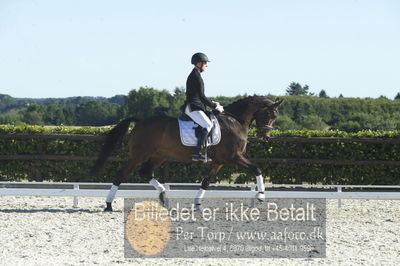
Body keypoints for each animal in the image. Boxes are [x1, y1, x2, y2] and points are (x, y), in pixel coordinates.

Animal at [90, 96, 284, 212]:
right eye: (271, 114)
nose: (266, 137)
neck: (234, 121)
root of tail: (140, 122)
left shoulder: (219, 161)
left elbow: (206, 181)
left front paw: (198, 204)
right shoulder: (233, 157)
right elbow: (257, 169)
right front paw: (261, 196)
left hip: (159, 156)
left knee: (145, 172)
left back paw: (163, 196)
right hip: (138, 155)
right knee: (121, 174)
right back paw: (108, 204)